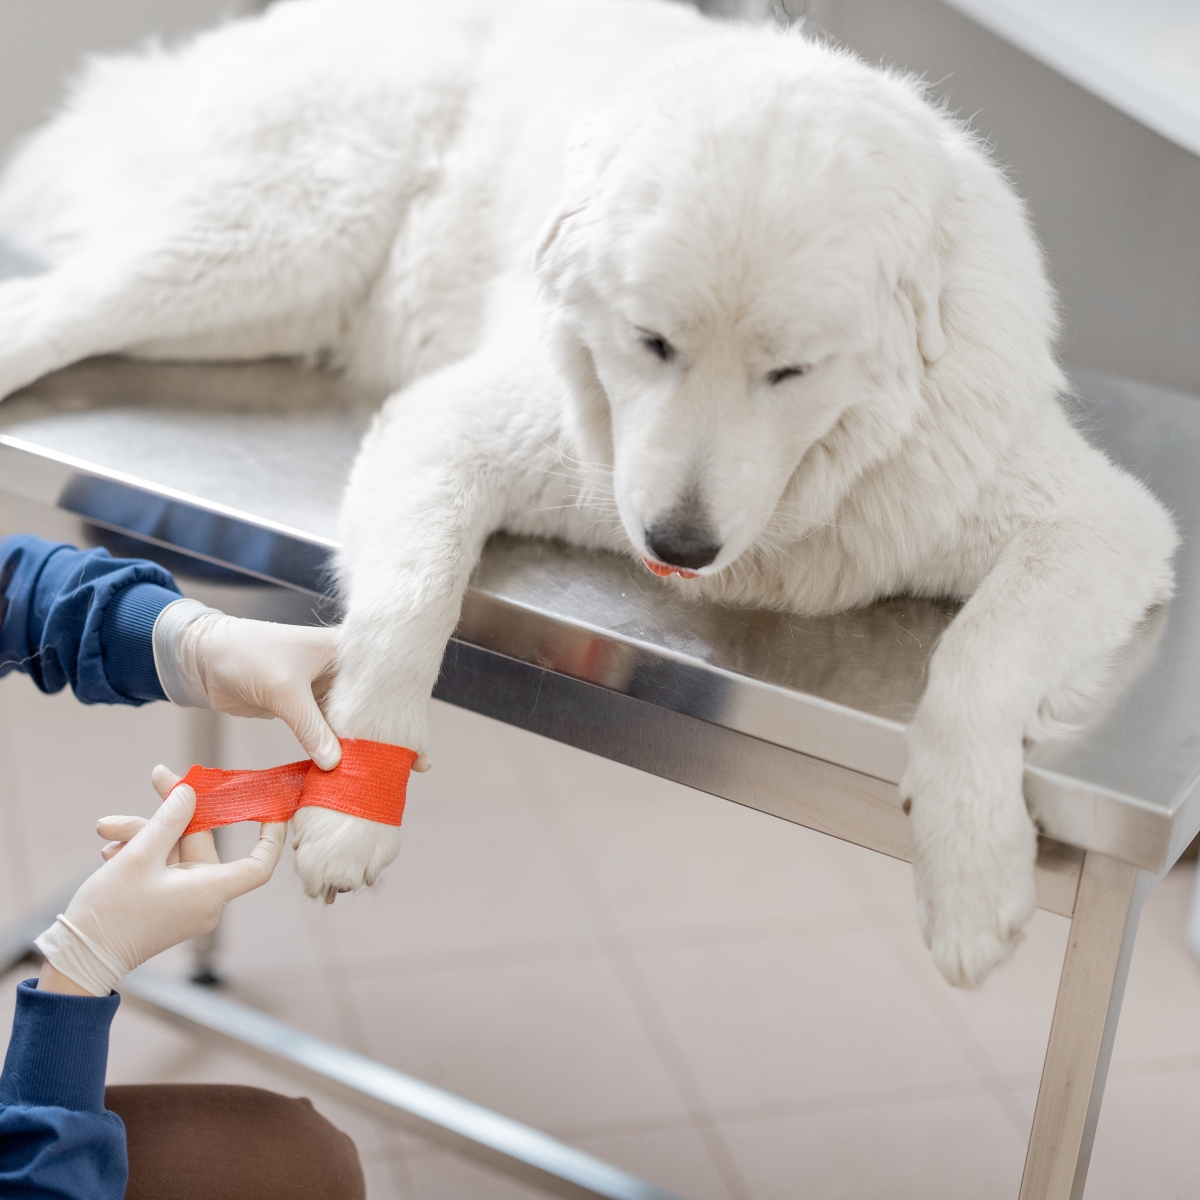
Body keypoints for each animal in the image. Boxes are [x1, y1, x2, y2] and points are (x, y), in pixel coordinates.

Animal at [0, 0, 1180, 984]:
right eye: (652, 343)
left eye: (789, 371)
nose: (679, 541)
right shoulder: (454, 427)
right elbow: (410, 603)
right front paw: (354, 809)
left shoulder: (1092, 524)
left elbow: (979, 660)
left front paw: (972, 868)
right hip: (276, 243)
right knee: (53, 310)